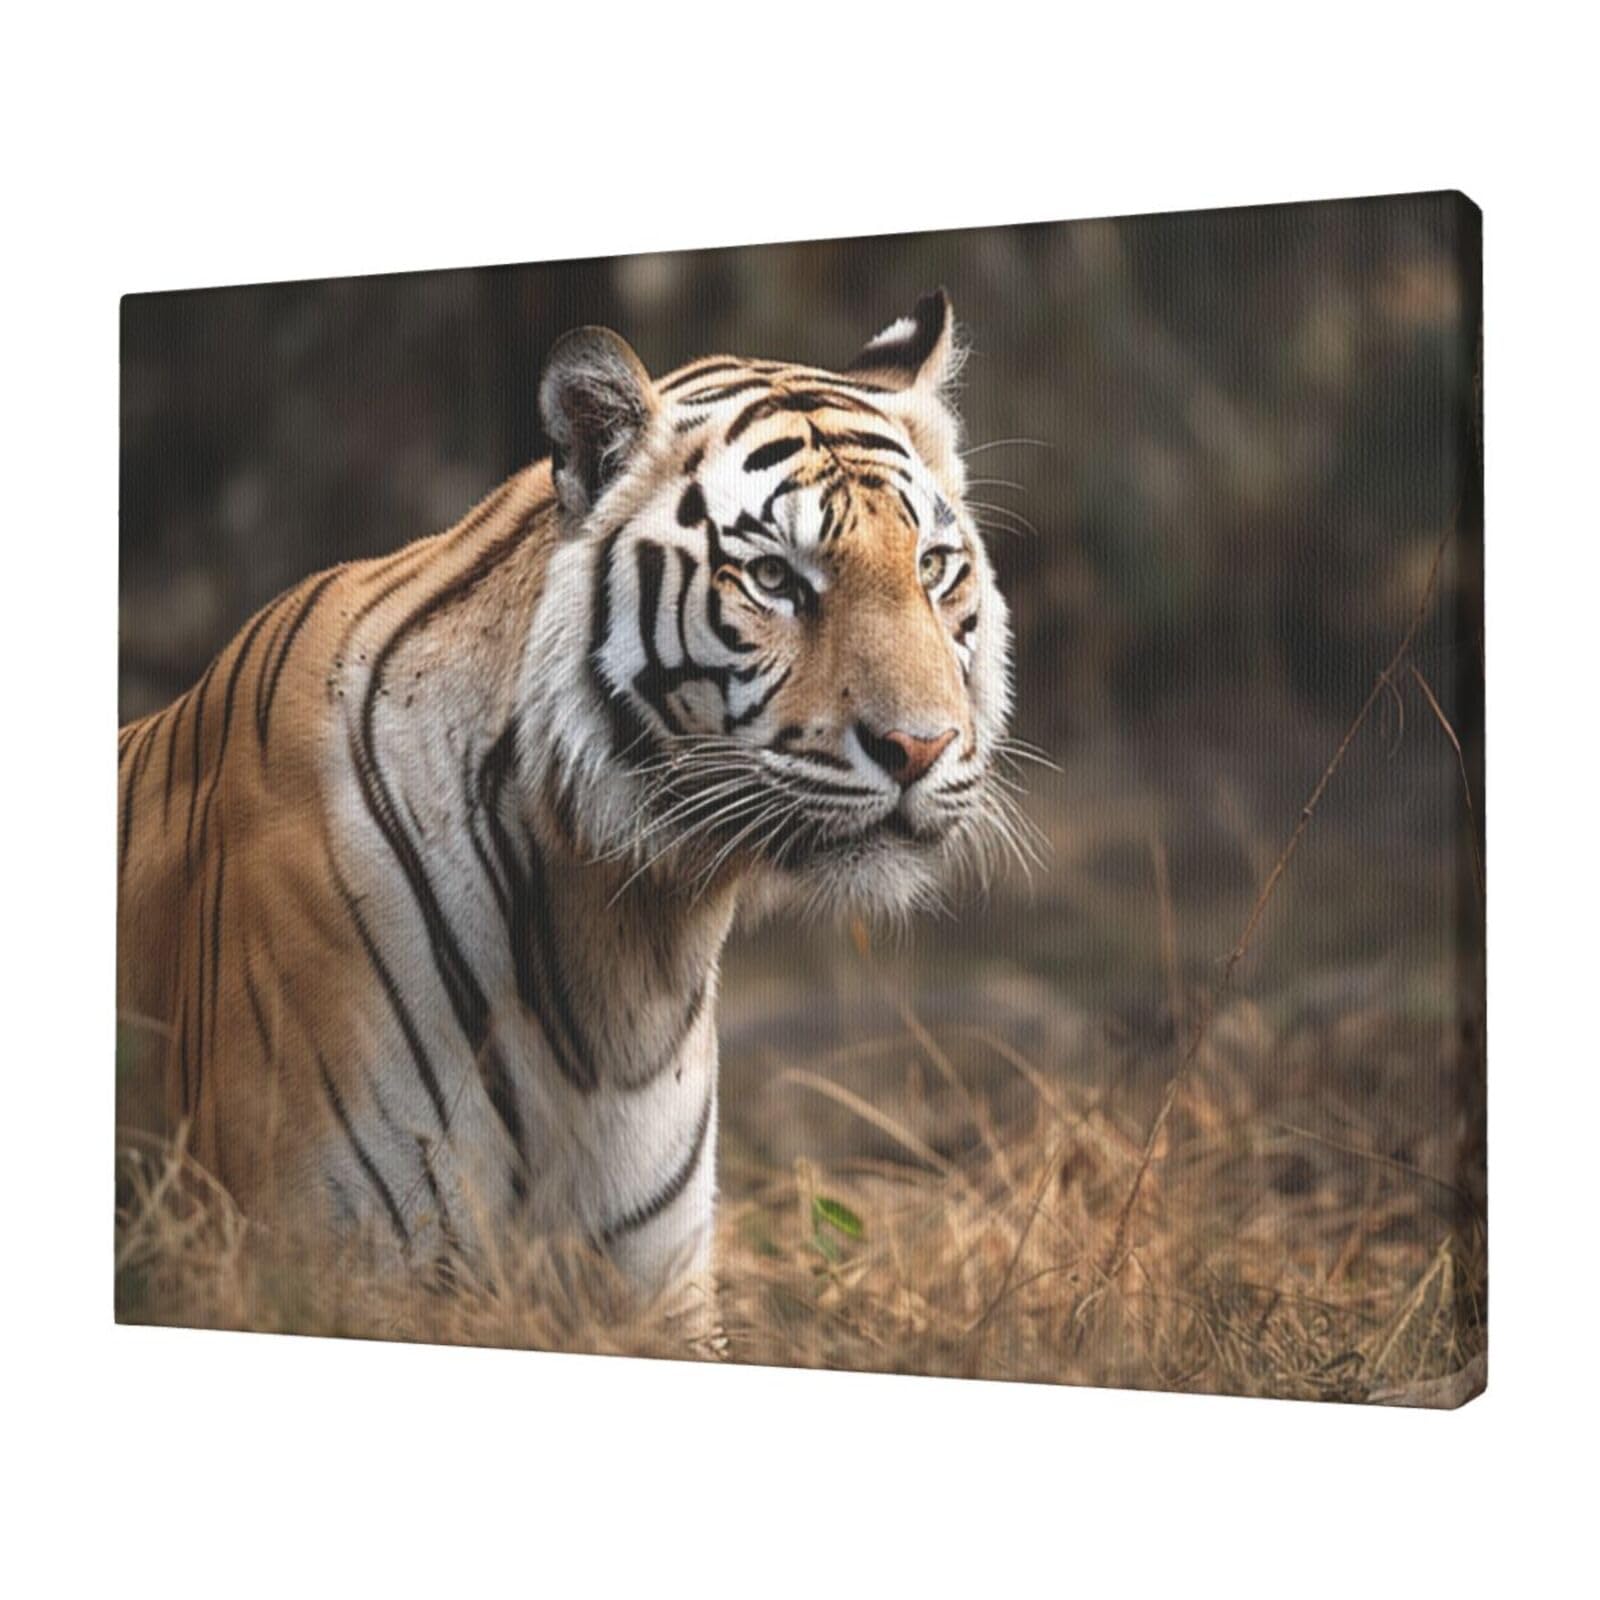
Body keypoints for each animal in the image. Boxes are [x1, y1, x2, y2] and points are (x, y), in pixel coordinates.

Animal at [116, 289, 1017, 1323]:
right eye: (775, 579)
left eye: (934, 566)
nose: (921, 748)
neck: (617, 930)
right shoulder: (319, 1266)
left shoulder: (657, 1287)